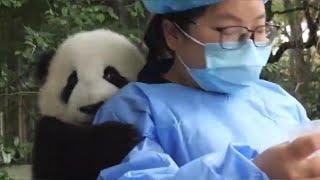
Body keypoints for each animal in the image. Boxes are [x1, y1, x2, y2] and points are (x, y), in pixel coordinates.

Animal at [33, 29, 146, 180]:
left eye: (110, 74)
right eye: (72, 80)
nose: (92, 107)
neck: (90, 127)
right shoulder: (50, 135)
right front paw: (117, 137)